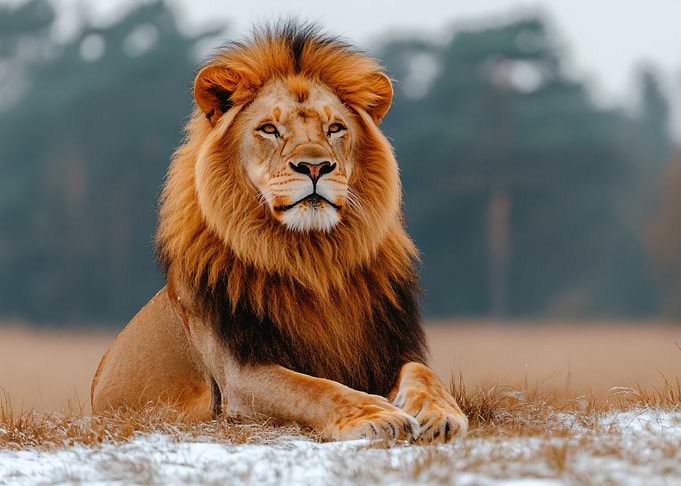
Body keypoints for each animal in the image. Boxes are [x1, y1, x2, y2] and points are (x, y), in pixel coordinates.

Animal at [91, 22, 468, 443]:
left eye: (335, 128)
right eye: (269, 129)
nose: (316, 166)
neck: (311, 257)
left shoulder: (390, 351)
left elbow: (423, 372)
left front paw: (441, 414)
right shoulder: (239, 378)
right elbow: (314, 388)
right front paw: (378, 414)